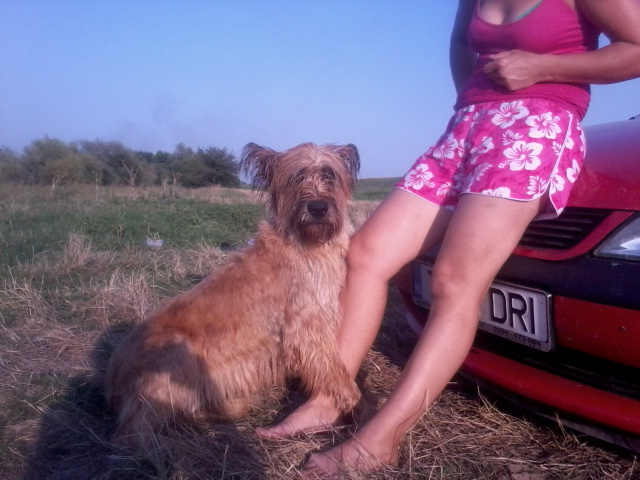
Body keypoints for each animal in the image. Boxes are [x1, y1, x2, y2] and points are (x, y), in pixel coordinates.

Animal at [106, 142, 364, 450]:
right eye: (297, 177)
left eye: (329, 175)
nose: (318, 208)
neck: (302, 242)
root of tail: (110, 382)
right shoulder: (307, 325)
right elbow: (330, 364)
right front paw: (349, 395)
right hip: (174, 355)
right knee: (135, 431)